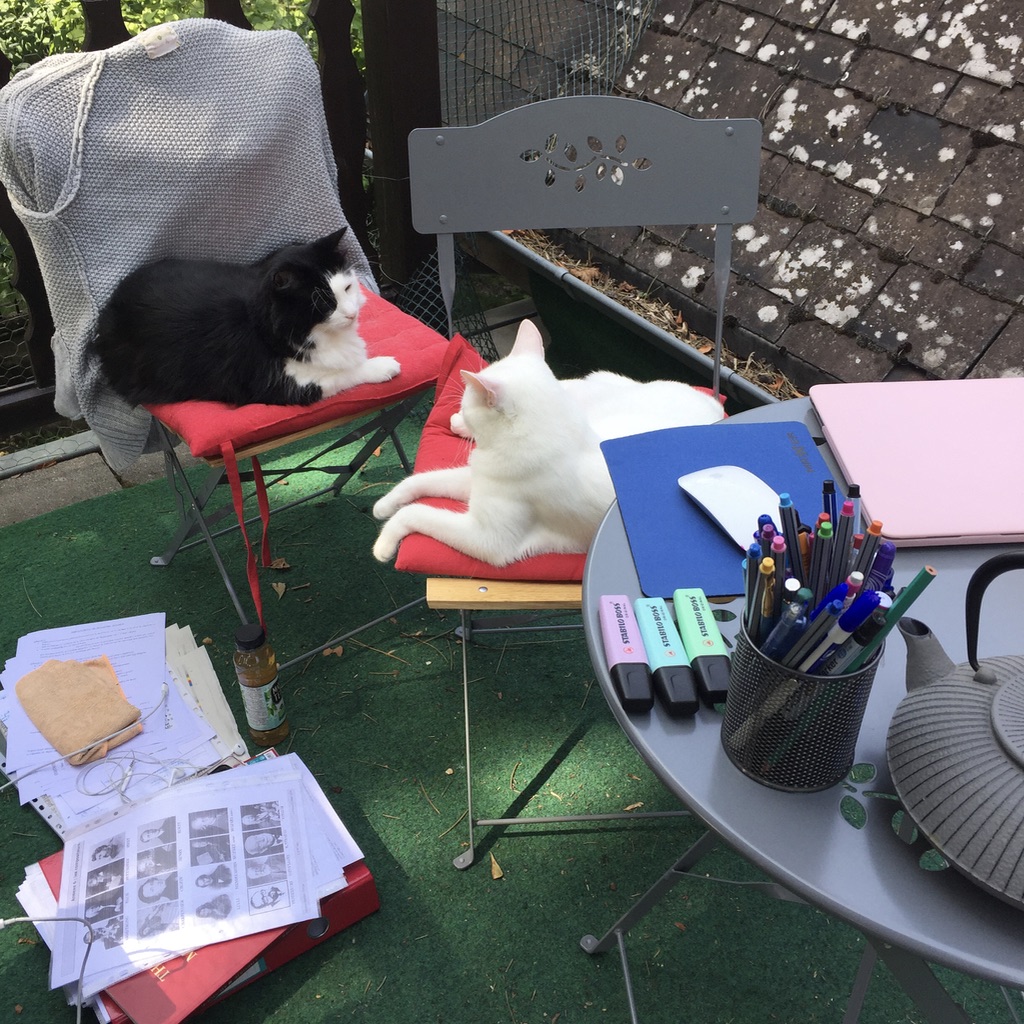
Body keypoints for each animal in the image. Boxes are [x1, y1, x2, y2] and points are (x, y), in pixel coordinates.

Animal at [94, 228, 399, 407]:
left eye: (347, 288)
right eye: (324, 303)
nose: (351, 313)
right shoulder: (279, 385)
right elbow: (344, 373)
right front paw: (383, 366)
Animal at [372, 317, 724, 565]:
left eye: (468, 401)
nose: (460, 409)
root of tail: (715, 405)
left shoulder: (490, 540)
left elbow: (417, 513)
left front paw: (385, 542)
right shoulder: (475, 480)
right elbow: (418, 481)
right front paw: (384, 505)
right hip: (593, 393)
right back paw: (456, 425)